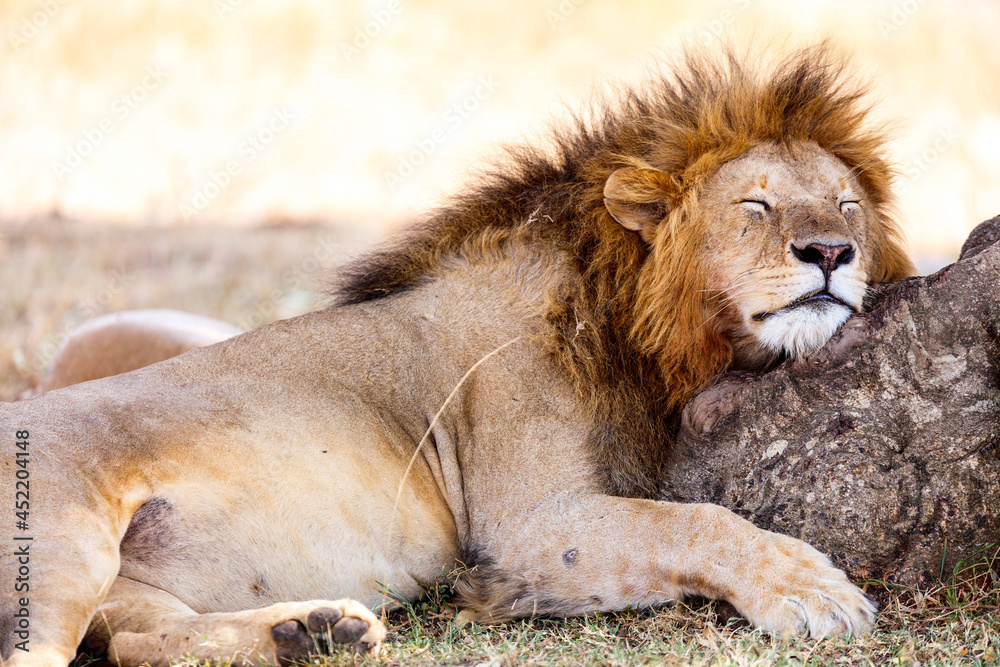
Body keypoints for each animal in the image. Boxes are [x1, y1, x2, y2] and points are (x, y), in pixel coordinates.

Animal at [1, 44, 915, 667]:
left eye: (846, 205)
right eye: (754, 205)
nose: (831, 252)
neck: (638, 326)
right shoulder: (527, 527)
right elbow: (696, 521)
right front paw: (813, 590)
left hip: (129, 588)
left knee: (137, 641)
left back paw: (313, 630)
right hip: (64, 541)